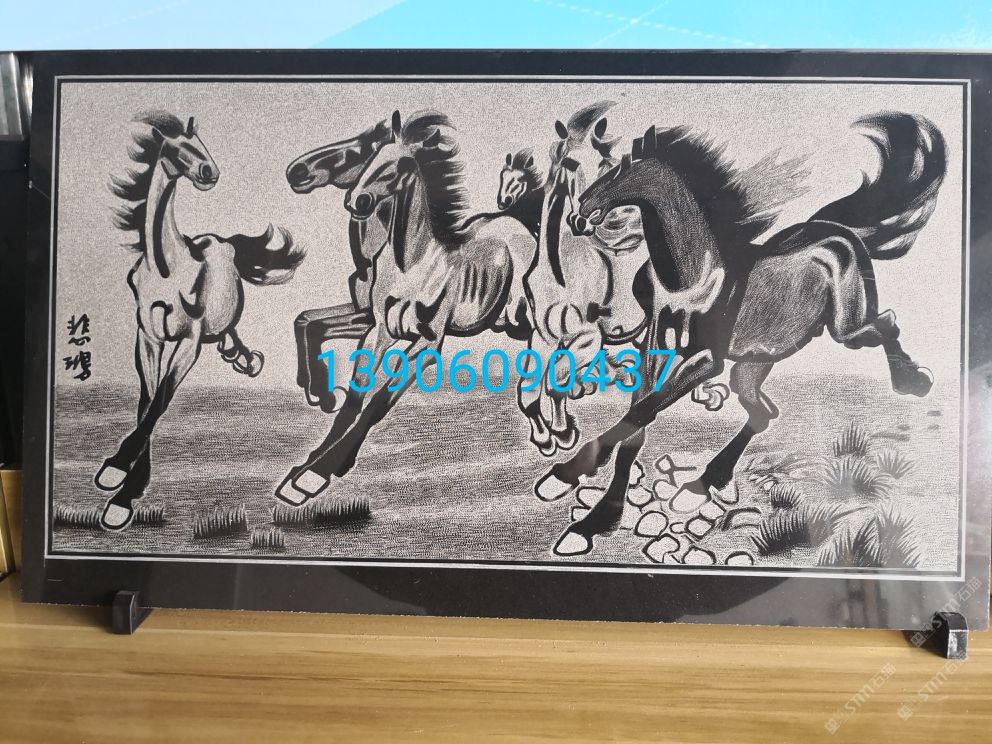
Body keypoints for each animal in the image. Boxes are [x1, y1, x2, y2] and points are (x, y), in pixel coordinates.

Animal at [96, 111, 305, 531]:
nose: (211, 172)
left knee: (229, 332)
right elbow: (148, 400)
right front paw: (124, 488)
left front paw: (119, 483)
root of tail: (222, 240)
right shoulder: (148, 337)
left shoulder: (188, 341)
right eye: (178, 147)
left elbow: (160, 400)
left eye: (201, 144)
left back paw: (245, 358)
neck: (166, 266)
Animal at [275, 110, 537, 507]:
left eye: (399, 165)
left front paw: (321, 470)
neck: (412, 264)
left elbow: (378, 402)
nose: (357, 200)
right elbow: (350, 389)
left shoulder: (427, 344)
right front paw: (307, 467)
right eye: (372, 156)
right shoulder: (375, 327)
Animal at [537, 112, 945, 556]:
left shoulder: (706, 360)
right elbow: (637, 422)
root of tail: (834, 229)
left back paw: (914, 381)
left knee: (886, 322)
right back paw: (699, 486)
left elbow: (641, 413)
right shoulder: (655, 349)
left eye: (618, 171)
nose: (578, 217)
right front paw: (584, 507)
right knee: (762, 413)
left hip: (846, 329)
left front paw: (575, 488)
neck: (690, 277)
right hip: (753, 362)